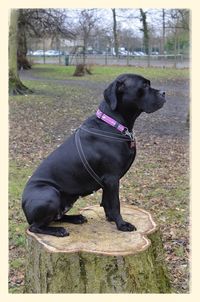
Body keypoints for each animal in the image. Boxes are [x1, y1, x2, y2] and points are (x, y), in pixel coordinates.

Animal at [21, 73, 166, 236]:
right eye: (144, 85)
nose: (163, 93)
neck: (113, 124)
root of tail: (24, 206)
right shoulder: (111, 178)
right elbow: (115, 203)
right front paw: (122, 224)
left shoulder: (108, 181)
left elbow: (107, 201)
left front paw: (111, 219)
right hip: (49, 193)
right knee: (36, 227)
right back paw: (58, 231)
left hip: (67, 199)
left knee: (57, 217)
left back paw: (76, 218)